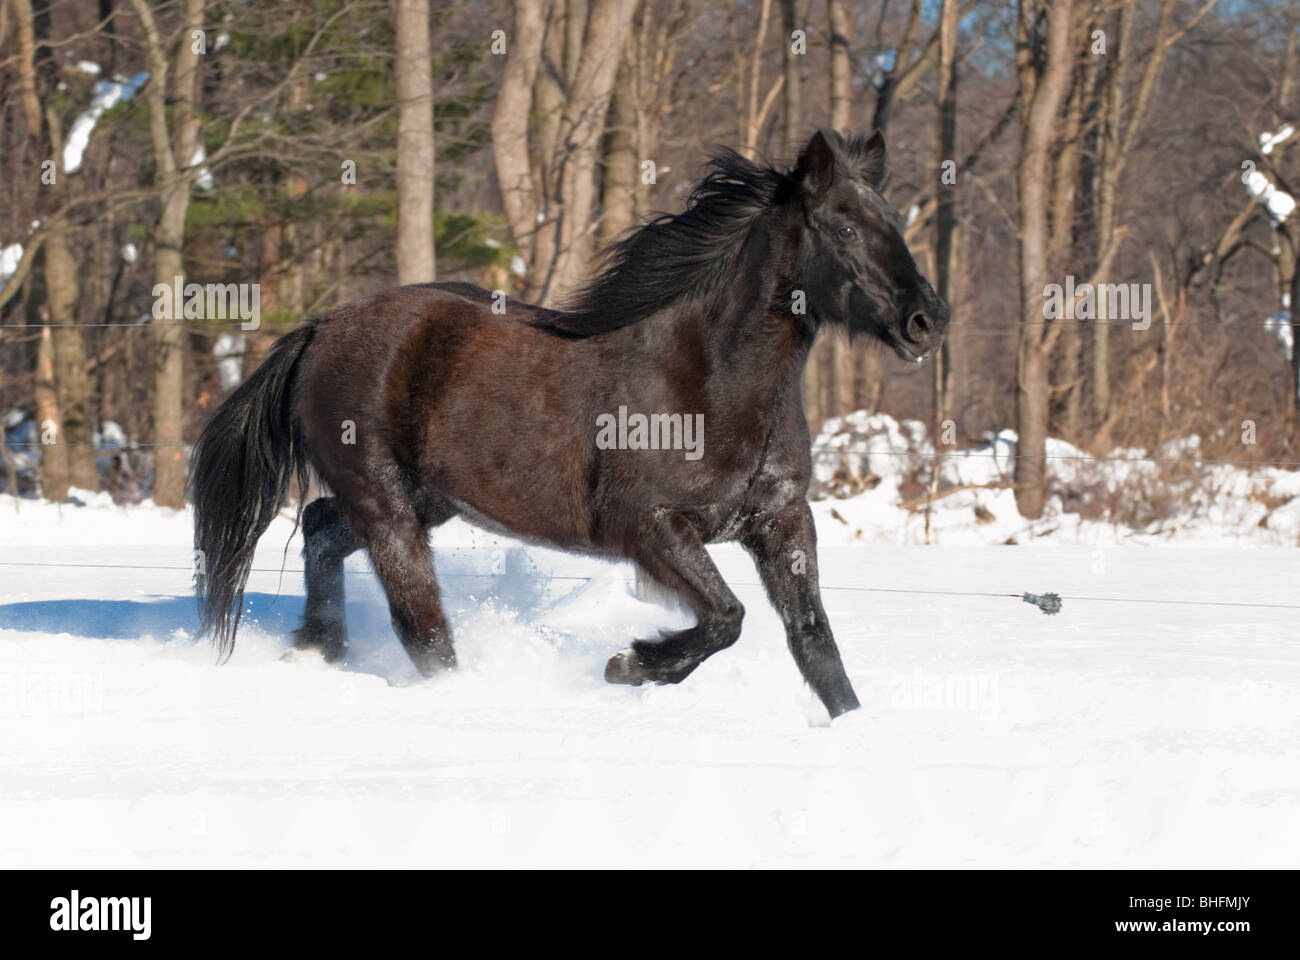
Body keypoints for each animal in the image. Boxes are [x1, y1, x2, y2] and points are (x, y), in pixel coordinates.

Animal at [190, 129, 949, 719]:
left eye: (893, 220)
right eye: (843, 225)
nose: (927, 320)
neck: (709, 383)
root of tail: (320, 329)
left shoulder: (783, 524)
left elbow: (817, 646)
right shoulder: (647, 526)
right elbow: (727, 618)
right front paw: (630, 664)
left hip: (423, 500)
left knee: (321, 529)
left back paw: (318, 650)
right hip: (387, 504)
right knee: (422, 626)